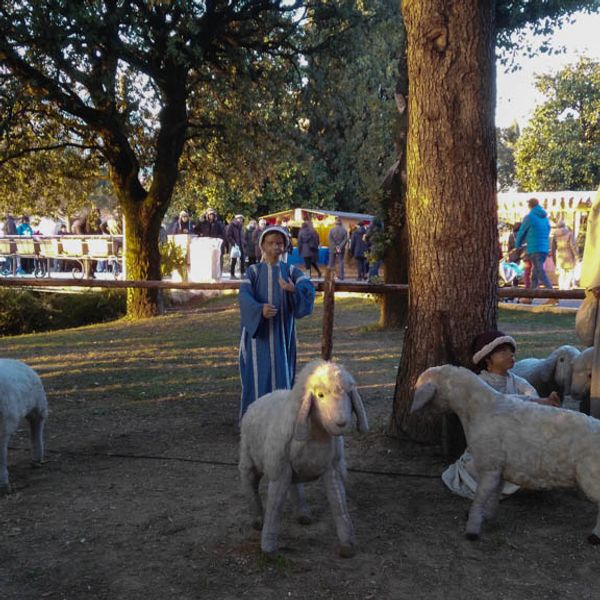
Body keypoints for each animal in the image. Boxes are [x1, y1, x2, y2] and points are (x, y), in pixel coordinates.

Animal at [0, 359, 47, 494]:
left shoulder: (3, 427)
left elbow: (1, 455)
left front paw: (3, 484)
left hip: (38, 404)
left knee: (37, 425)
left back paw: (37, 458)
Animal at [239, 360, 369, 557]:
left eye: (347, 394)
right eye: (320, 395)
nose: (341, 423)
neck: (317, 435)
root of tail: (263, 397)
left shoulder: (332, 468)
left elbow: (339, 505)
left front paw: (347, 544)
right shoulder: (279, 470)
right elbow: (275, 507)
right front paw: (268, 547)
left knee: (295, 486)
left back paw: (303, 515)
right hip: (249, 460)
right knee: (250, 486)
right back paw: (257, 519)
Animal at [412, 364, 600, 544]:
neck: (479, 409)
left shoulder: (489, 466)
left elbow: (480, 498)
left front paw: (472, 530)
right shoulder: (499, 470)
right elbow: (493, 496)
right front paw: (487, 516)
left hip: (591, 477)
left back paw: (594, 537)